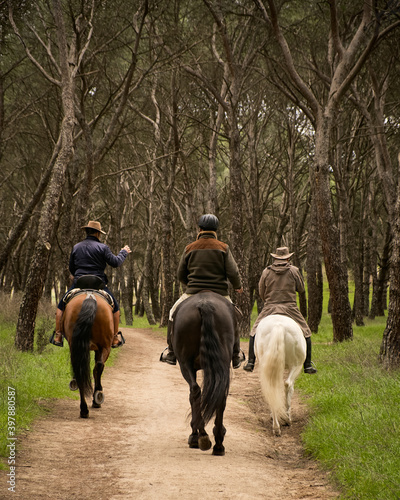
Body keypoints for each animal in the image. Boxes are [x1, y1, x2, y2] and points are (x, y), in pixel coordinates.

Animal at [61, 290, 114, 418]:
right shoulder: (101, 349)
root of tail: (90, 297)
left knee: (80, 370)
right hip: (105, 346)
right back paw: (96, 398)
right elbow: (97, 369)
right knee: (98, 367)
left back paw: (84, 409)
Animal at [171, 290, 234, 458]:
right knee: (219, 395)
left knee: (195, 391)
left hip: (184, 363)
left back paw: (202, 436)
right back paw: (218, 443)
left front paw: (194, 435)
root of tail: (205, 305)